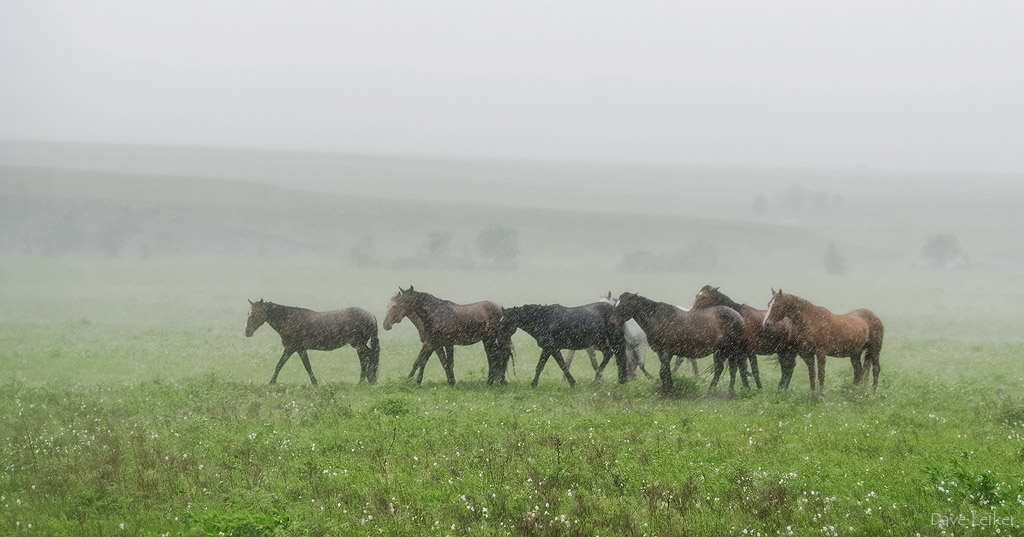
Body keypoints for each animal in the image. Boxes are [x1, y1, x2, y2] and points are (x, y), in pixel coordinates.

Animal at [243, 299, 380, 383]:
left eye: (255, 314)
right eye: (248, 313)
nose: (247, 332)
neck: (288, 320)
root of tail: (371, 316)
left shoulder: (290, 348)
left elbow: (280, 364)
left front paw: (271, 382)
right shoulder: (300, 349)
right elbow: (307, 366)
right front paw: (315, 382)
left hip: (358, 344)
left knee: (370, 356)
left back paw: (367, 380)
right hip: (358, 345)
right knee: (365, 359)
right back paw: (365, 380)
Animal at [493, 301, 622, 385]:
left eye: (508, 321)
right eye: (501, 320)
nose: (498, 340)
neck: (545, 320)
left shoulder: (552, 348)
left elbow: (559, 365)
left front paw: (572, 383)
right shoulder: (549, 349)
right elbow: (546, 365)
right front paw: (534, 384)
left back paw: (600, 377)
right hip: (599, 342)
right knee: (608, 353)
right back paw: (598, 378)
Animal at [610, 293, 749, 393]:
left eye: (624, 305)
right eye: (615, 305)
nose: (612, 322)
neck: (659, 319)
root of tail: (738, 316)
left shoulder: (667, 352)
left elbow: (663, 371)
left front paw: (668, 391)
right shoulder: (661, 353)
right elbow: (665, 372)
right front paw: (668, 389)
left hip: (731, 350)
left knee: (732, 369)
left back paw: (730, 392)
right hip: (720, 351)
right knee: (720, 369)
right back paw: (710, 391)